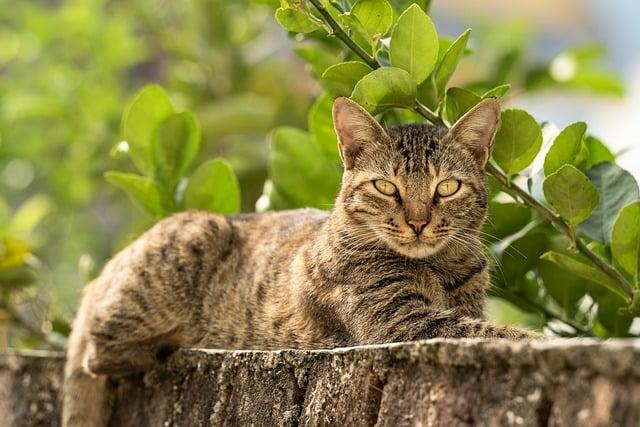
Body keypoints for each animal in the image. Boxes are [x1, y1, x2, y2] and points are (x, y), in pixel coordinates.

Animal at [62, 98, 540, 427]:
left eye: (447, 187)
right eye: (386, 187)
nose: (418, 222)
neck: (440, 268)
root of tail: (98, 279)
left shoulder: (459, 309)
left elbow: (487, 324)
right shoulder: (401, 324)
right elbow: (505, 333)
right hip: (190, 243)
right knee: (95, 351)